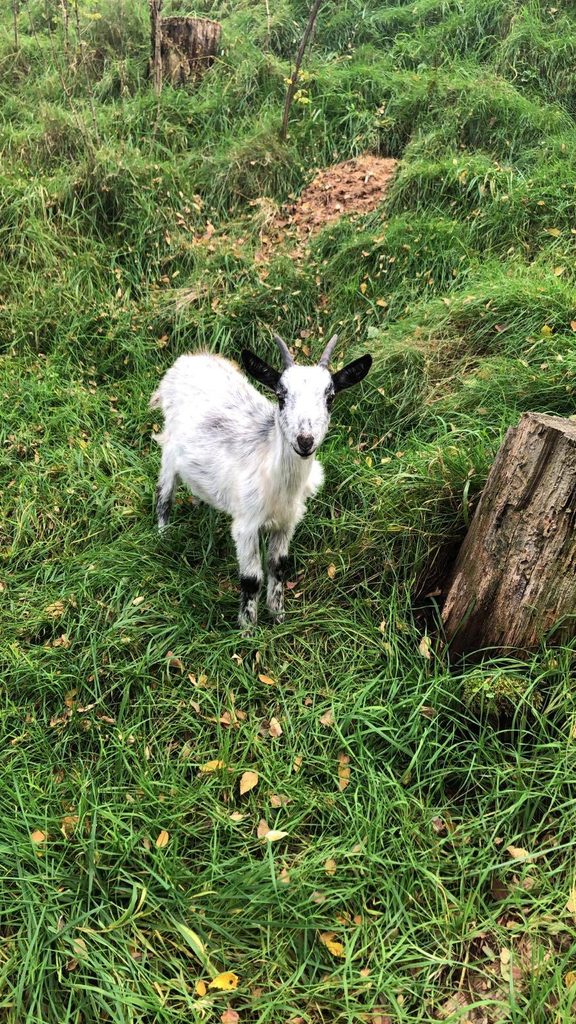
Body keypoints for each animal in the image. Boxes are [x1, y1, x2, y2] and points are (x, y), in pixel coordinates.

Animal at [149, 334, 372, 627]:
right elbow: (251, 579)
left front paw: (278, 618)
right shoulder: (246, 525)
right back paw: (163, 536)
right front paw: (248, 628)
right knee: (164, 495)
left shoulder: (287, 523)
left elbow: (278, 568)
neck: (279, 483)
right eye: (280, 395)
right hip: (168, 449)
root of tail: (192, 357)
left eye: (330, 397)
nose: (305, 440)